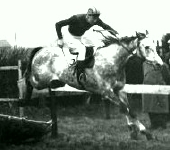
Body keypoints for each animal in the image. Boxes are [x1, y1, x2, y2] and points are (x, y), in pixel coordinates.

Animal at [20, 25, 160, 139]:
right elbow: (126, 108)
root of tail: (40, 50)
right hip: (39, 80)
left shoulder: (119, 90)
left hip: (52, 82)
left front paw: (137, 130)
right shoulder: (107, 93)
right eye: (147, 47)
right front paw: (143, 131)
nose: (160, 64)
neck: (112, 61)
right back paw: (22, 98)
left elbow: (128, 109)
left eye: (155, 46)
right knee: (27, 79)